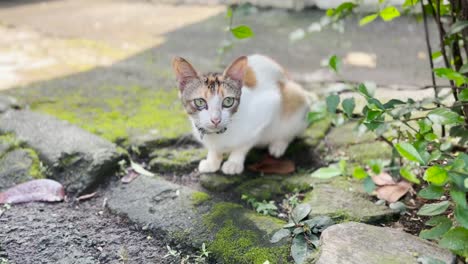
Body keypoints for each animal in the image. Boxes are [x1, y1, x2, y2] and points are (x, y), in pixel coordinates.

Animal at [172, 54, 310, 175]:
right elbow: (214, 149)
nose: (216, 119)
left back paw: (278, 145)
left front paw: (234, 162)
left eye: (228, 101)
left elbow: (245, 143)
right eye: (200, 102)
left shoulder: (268, 108)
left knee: (290, 130)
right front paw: (212, 161)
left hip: (295, 98)